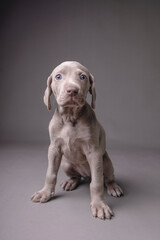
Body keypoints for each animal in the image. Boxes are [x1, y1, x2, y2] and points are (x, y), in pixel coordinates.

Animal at [31, 60, 124, 219]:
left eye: (82, 77)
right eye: (58, 76)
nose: (72, 90)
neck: (70, 117)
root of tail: (86, 175)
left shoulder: (94, 152)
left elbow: (97, 183)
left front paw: (99, 205)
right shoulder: (54, 149)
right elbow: (50, 173)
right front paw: (45, 193)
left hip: (106, 162)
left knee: (107, 177)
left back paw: (113, 187)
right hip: (66, 164)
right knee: (76, 177)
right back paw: (70, 182)